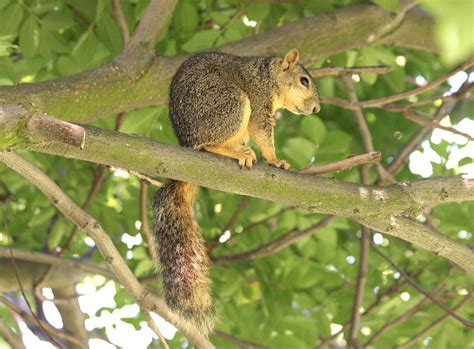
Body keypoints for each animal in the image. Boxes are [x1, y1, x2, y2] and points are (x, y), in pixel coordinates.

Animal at [154, 47, 320, 334]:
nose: (317, 107)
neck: (270, 77)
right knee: (206, 145)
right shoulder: (259, 98)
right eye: (304, 81)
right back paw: (234, 152)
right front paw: (275, 160)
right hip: (229, 104)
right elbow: (262, 131)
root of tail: (186, 143)